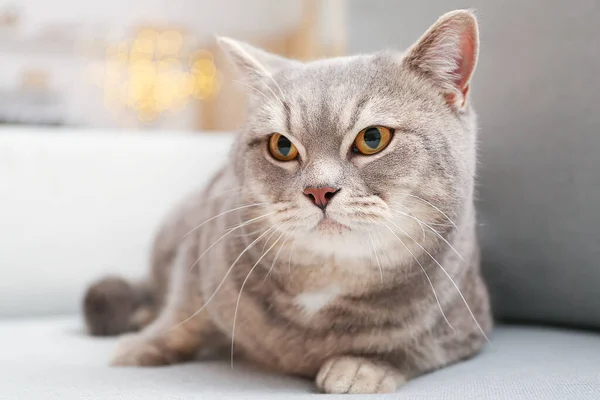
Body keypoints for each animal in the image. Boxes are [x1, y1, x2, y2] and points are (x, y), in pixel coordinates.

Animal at [83, 9, 492, 394]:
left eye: (373, 138)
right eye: (281, 146)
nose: (319, 190)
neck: (326, 282)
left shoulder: (467, 326)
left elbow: (414, 348)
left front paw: (362, 366)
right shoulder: (199, 249)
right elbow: (184, 310)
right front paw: (143, 344)